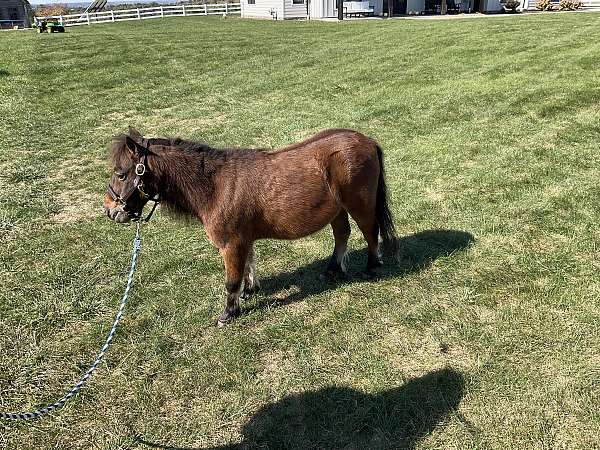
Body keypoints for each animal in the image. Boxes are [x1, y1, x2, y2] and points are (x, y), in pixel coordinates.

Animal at [103, 128, 398, 326]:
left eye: (121, 174)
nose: (109, 210)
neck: (216, 186)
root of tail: (368, 141)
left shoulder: (231, 244)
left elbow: (231, 280)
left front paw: (228, 313)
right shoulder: (243, 240)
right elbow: (248, 265)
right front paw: (249, 291)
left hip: (360, 204)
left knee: (370, 232)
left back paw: (373, 266)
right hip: (336, 210)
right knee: (342, 234)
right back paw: (334, 269)